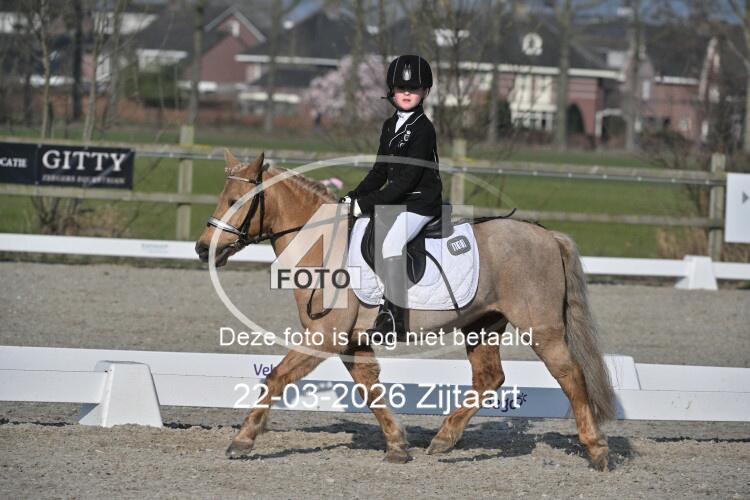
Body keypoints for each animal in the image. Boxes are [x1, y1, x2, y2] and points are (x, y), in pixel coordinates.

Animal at [195, 150, 616, 470]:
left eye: (235, 202)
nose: (202, 249)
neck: (321, 242)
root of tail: (547, 234)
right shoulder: (352, 341)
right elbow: (370, 389)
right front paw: (398, 445)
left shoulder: (324, 336)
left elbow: (277, 378)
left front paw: (242, 440)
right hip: (481, 325)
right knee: (489, 378)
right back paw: (444, 440)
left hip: (540, 328)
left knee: (571, 375)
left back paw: (597, 451)